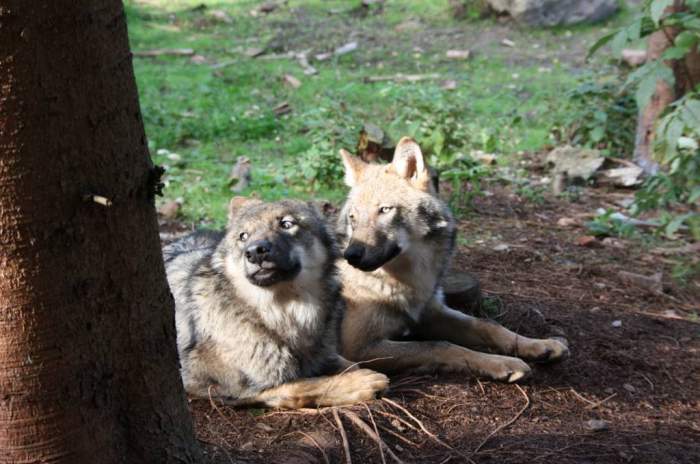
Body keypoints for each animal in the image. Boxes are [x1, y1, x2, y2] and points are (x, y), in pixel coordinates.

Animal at [164, 198, 388, 408]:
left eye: (286, 224)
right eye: (243, 236)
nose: (255, 252)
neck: (282, 314)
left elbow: (349, 364)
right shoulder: (220, 387)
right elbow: (303, 385)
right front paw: (359, 384)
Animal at [334, 136, 568, 382]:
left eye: (385, 209)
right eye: (353, 217)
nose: (351, 255)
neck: (410, 280)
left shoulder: (432, 313)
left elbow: (488, 326)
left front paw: (540, 345)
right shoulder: (359, 347)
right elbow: (440, 346)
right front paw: (503, 363)